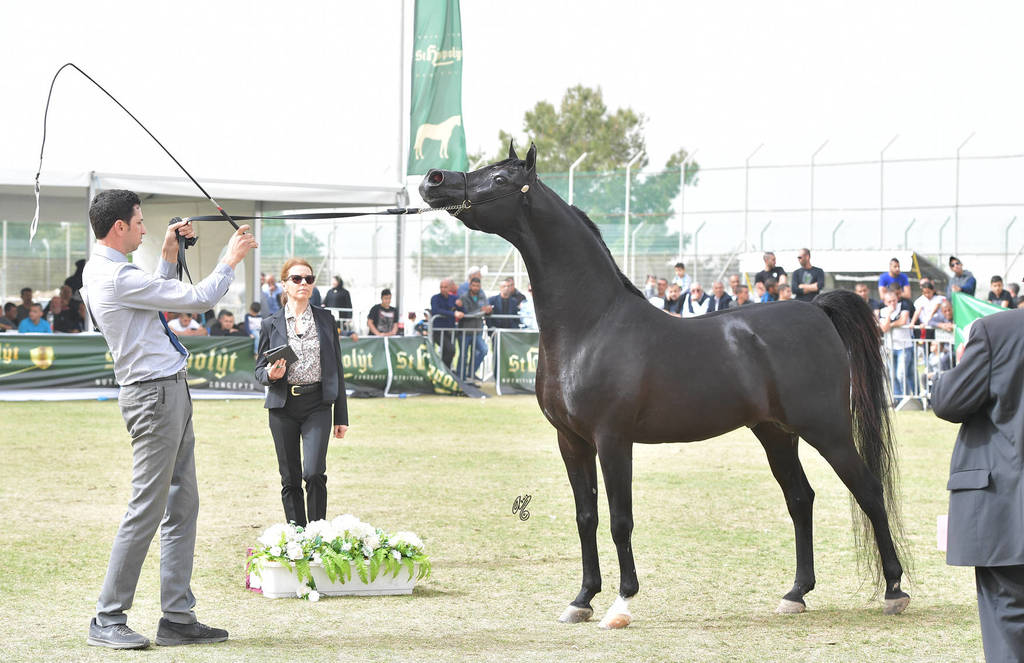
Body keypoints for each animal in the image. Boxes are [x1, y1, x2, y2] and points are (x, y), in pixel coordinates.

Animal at [419, 143, 910, 628]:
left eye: (501, 179)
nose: (434, 180)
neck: (592, 325)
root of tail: (816, 308)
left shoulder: (613, 439)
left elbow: (620, 520)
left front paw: (621, 604)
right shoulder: (571, 441)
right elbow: (585, 517)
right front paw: (582, 599)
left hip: (827, 430)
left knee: (868, 491)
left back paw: (894, 589)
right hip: (775, 433)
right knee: (800, 498)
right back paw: (796, 593)